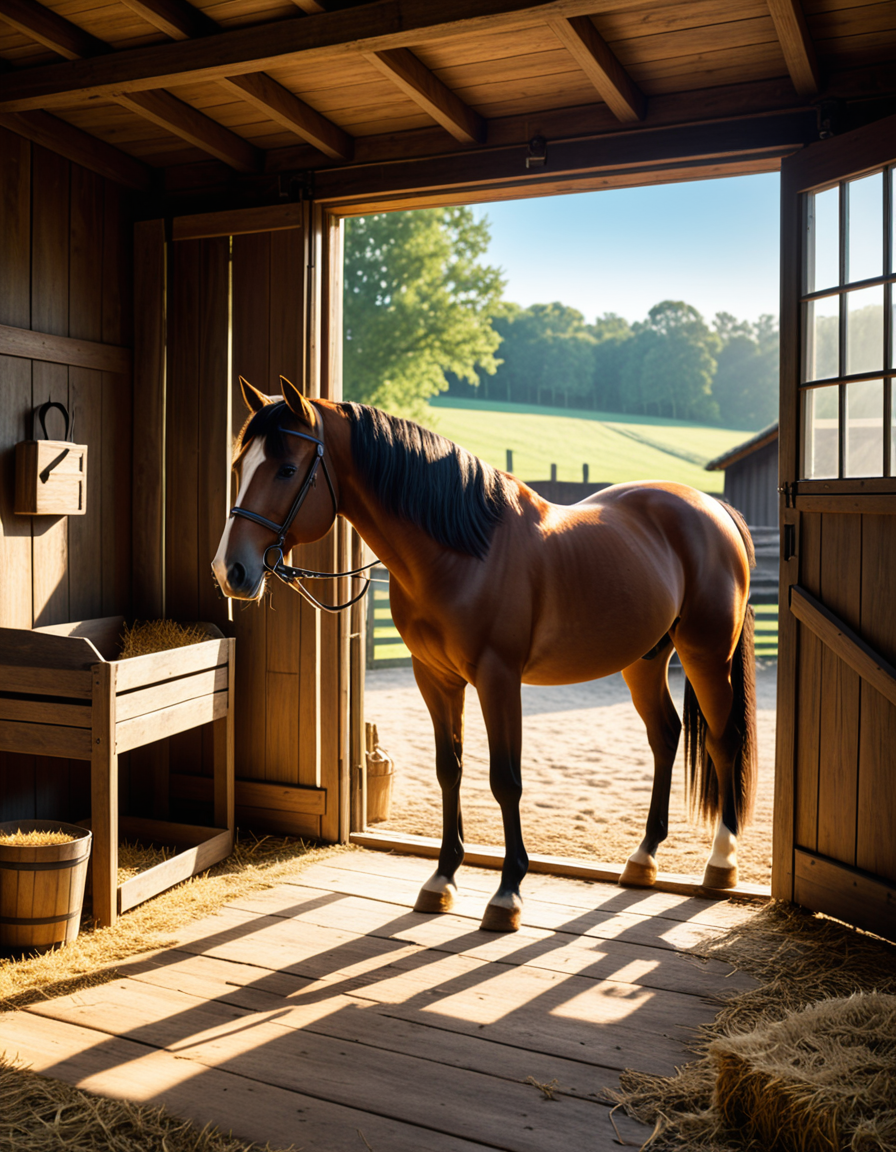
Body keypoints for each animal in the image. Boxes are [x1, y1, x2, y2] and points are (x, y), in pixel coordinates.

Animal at [212, 375, 757, 933]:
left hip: (706, 653)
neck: (463, 551)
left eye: (286, 469)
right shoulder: (434, 678)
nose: (230, 570)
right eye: (239, 467)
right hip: (644, 660)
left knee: (724, 739)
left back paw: (721, 862)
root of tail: (714, 509)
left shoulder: (499, 679)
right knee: (665, 736)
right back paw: (644, 857)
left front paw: (507, 893)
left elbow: (505, 779)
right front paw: (442, 879)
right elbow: (448, 770)